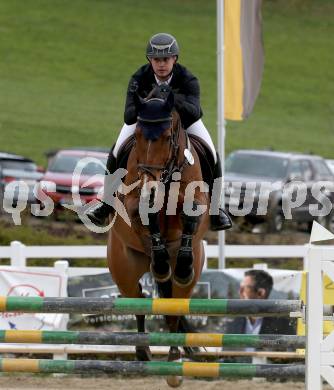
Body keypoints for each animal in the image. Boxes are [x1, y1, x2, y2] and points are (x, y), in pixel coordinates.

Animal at [107, 90, 211, 386]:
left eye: (167, 137)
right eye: (138, 135)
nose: (148, 183)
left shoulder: (195, 202)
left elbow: (189, 218)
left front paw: (181, 266)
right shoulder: (135, 202)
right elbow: (147, 215)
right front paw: (162, 261)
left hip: (189, 278)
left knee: (174, 304)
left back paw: (175, 356)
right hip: (125, 266)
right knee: (139, 299)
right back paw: (143, 350)